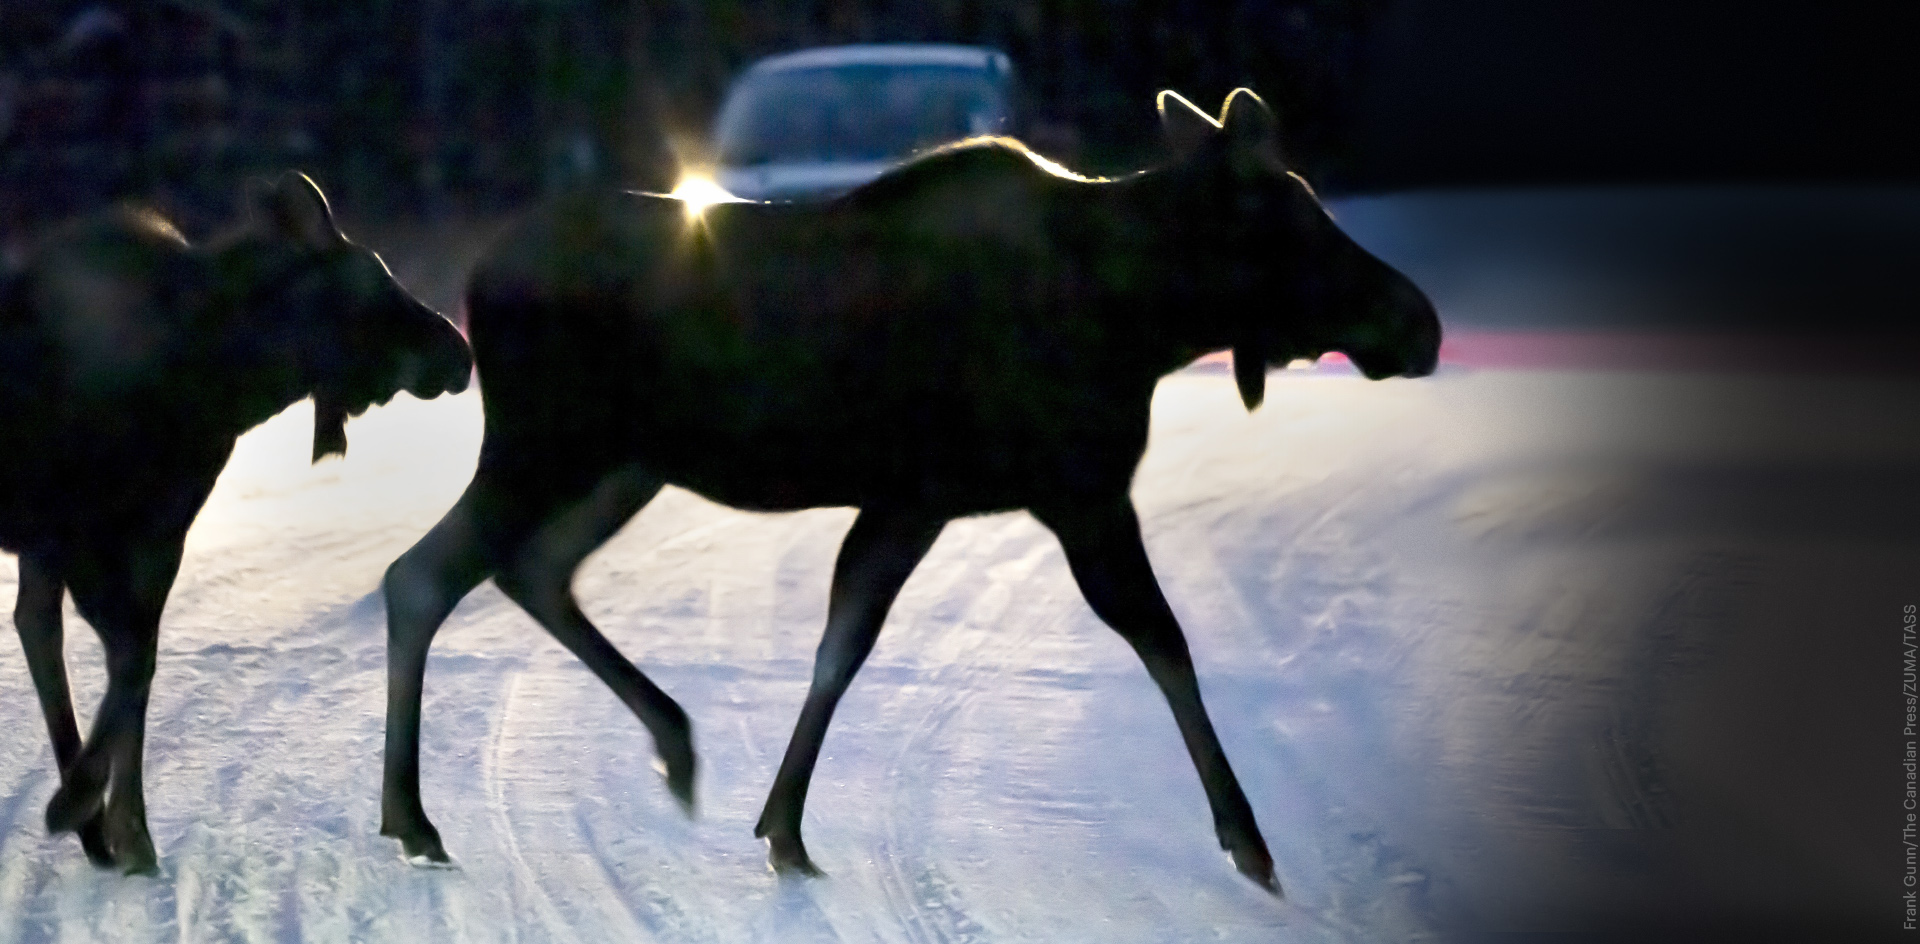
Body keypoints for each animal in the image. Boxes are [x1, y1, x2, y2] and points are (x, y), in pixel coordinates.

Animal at [1, 171, 474, 871]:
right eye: (372, 280)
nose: (459, 350)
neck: (227, 375)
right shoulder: (97, 532)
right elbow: (129, 658)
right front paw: (89, 810)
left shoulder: (117, 536)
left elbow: (108, 650)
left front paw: (116, 830)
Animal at [378, 86, 1443, 894]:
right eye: (1295, 219)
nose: (1421, 323)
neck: (1143, 316)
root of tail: (469, 283)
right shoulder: (1081, 490)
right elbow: (1164, 641)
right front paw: (1250, 842)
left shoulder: (916, 500)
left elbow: (844, 641)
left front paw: (783, 827)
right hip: (546, 447)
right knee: (422, 577)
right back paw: (414, 817)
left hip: (620, 465)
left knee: (529, 571)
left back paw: (671, 742)